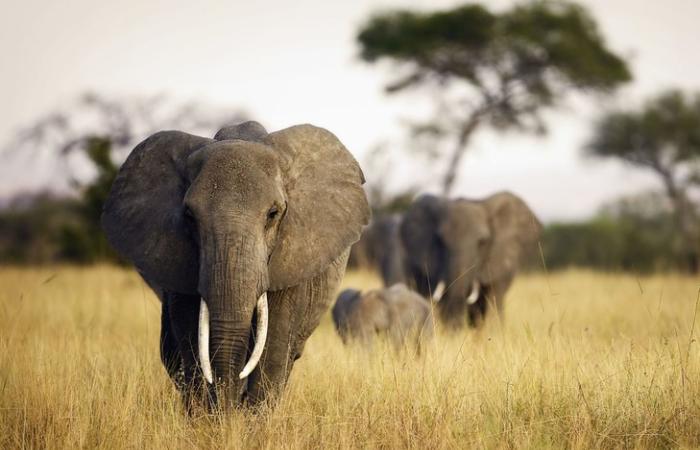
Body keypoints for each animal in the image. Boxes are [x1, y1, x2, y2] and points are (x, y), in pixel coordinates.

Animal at [102, 121, 370, 411]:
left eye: (273, 214)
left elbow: (274, 345)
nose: (228, 409)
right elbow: (190, 337)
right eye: (189, 216)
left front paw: (249, 420)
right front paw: (208, 418)